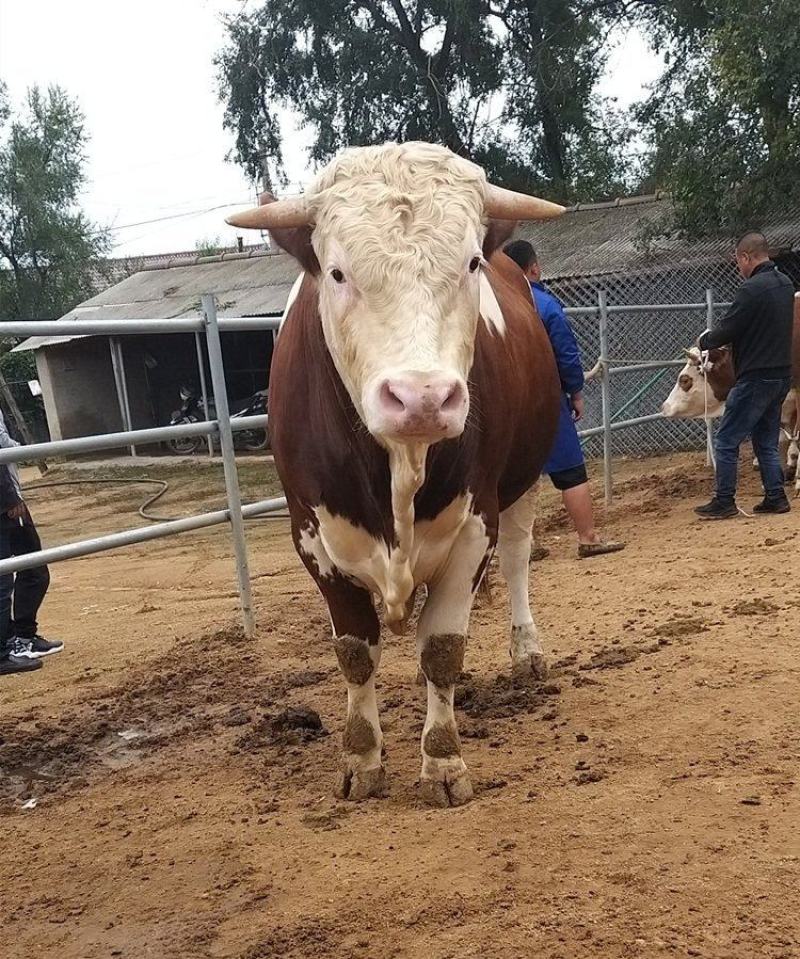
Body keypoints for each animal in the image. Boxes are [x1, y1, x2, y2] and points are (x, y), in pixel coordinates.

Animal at [225, 141, 564, 804]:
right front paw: (362, 757)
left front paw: (443, 760)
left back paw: (526, 650)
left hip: (523, 483)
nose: (423, 397)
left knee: (517, 559)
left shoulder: (475, 524)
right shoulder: (312, 536)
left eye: (471, 263)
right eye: (337, 273)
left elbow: (442, 649)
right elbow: (356, 653)